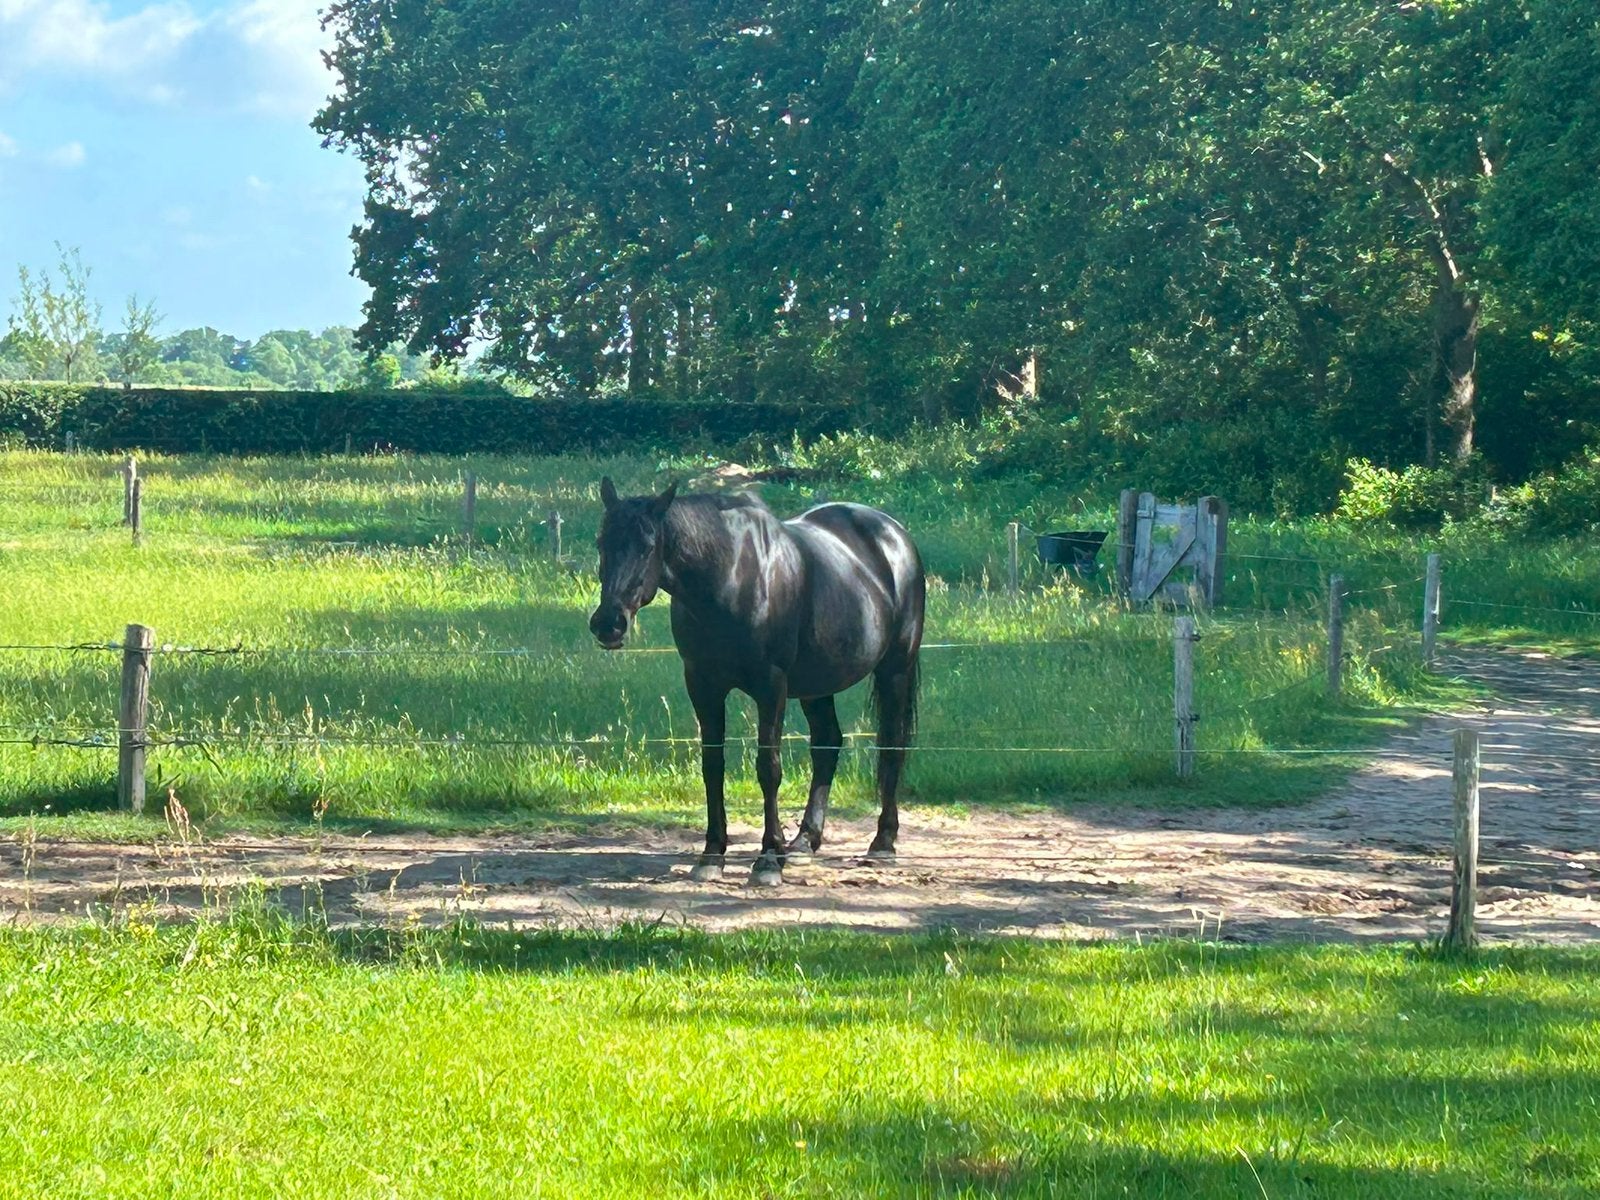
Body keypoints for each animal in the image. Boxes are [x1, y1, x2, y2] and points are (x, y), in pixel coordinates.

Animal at [588, 478, 925, 887]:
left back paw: (883, 842)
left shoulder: (771, 686)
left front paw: (767, 859)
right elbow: (712, 766)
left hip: (895, 669)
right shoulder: (703, 685)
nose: (609, 623)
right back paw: (804, 842)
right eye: (601, 542)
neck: (731, 578)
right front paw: (712, 854)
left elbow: (768, 768)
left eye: (648, 546)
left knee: (892, 744)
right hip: (818, 684)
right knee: (827, 744)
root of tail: (894, 533)